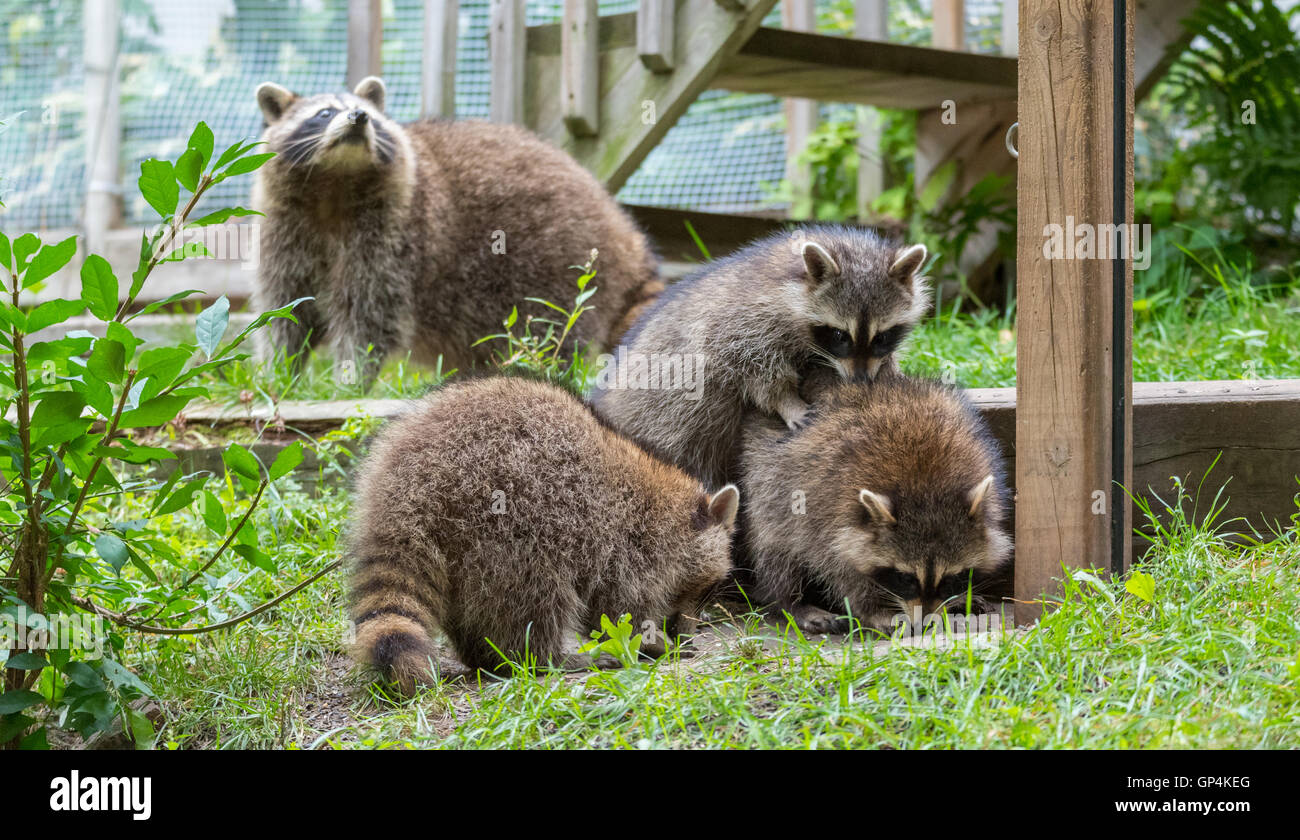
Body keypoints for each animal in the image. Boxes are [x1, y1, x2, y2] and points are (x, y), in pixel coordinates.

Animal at [345, 379, 743, 696]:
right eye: (705, 589)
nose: (688, 632)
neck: (671, 509)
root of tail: (407, 482)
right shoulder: (630, 546)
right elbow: (621, 609)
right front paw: (655, 642)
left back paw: (487, 656)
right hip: (511, 521)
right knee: (536, 595)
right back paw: (545, 657)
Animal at [590, 227, 935, 491]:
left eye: (882, 337)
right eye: (839, 336)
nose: (860, 380)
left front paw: (890, 367)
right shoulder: (747, 321)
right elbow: (753, 366)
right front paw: (786, 400)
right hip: (665, 417)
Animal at [738, 377, 1008, 639]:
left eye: (952, 578)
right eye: (905, 578)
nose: (923, 624)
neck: (928, 486)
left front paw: (957, 598)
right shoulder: (826, 508)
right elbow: (839, 567)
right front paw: (873, 609)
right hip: (771, 485)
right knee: (777, 551)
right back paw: (791, 601)